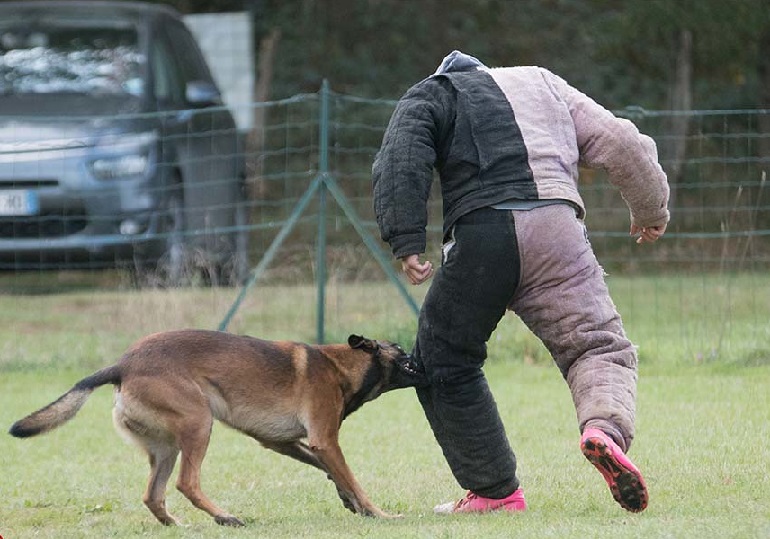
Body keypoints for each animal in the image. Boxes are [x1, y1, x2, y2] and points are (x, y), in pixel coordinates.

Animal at [7, 330, 426, 528]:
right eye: (402, 351)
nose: (424, 360)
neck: (342, 367)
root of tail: (122, 365)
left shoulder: (281, 442)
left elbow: (330, 471)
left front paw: (350, 501)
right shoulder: (325, 440)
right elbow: (353, 477)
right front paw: (380, 513)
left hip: (166, 448)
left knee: (153, 495)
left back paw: (179, 525)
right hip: (198, 422)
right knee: (186, 483)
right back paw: (225, 517)